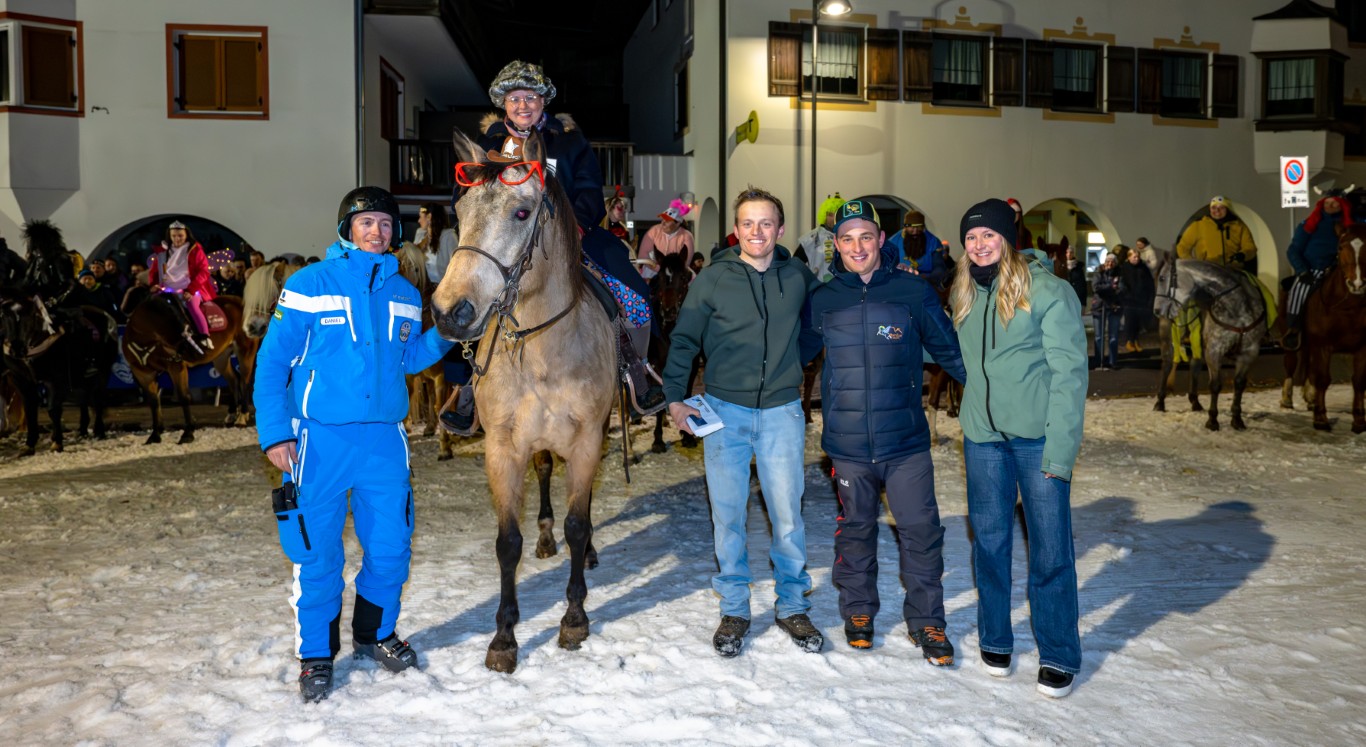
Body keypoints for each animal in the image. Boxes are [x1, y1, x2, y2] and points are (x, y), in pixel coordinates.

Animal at [0, 296, 118, 454]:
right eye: (4, 317)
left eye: (29, 317)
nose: (17, 349)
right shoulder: (22, 381)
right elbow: (30, 409)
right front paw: (29, 445)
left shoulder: (54, 381)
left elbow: (53, 410)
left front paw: (57, 443)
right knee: (84, 399)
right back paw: (82, 430)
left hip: (103, 372)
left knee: (97, 399)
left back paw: (99, 431)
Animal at [122, 292, 251, 444]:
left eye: (185, 322)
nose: (195, 350)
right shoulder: (142, 373)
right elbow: (154, 401)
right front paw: (155, 434)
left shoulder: (177, 367)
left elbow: (184, 397)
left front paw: (187, 433)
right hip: (221, 356)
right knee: (234, 379)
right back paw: (232, 414)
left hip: (245, 350)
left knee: (245, 381)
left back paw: (242, 416)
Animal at [432, 128, 618, 673]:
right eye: (460, 211)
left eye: (520, 212)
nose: (450, 312)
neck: (542, 354)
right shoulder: (503, 449)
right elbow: (507, 542)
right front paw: (504, 637)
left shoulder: (587, 441)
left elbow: (578, 523)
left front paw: (574, 616)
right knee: (545, 473)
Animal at [1151, 253, 1269, 431]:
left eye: (1163, 278)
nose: (1157, 310)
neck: (1237, 306)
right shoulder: (1214, 350)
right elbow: (1215, 385)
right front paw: (1212, 420)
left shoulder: (1249, 352)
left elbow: (1239, 383)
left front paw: (1237, 418)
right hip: (1169, 340)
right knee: (1167, 365)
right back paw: (1160, 401)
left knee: (1195, 364)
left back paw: (1194, 401)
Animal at [1297, 223, 1366, 432]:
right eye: (1341, 247)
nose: (1357, 284)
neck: (1347, 307)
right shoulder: (1322, 346)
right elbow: (1322, 379)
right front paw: (1320, 418)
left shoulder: (1362, 347)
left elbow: (1359, 381)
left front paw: (1359, 421)